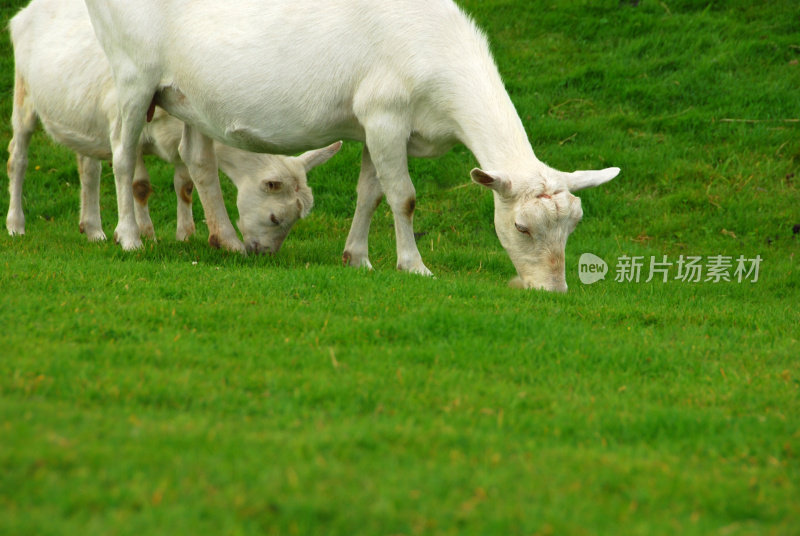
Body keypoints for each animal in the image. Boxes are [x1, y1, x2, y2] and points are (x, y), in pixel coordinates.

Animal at [7, 0, 342, 253]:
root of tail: (24, 13)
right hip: (24, 97)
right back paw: (16, 225)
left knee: (88, 167)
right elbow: (139, 184)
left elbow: (185, 183)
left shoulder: (189, 121)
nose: (264, 253)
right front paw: (144, 233)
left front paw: (186, 234)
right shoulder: (129, 125)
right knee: (18, 157)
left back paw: (93, 230)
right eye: (275, 218)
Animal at [81, 0, 620, 292]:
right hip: (133, 76)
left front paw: (357, 258)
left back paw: (227, 240)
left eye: (574, 225)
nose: (552, 288)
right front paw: (414, 266)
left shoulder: (376, 127)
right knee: (122, 154)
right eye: (523, 227)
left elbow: (371, 193)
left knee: (198, 163)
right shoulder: (385, 114)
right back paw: (127, 236)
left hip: (186, 97)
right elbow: (404, 197)